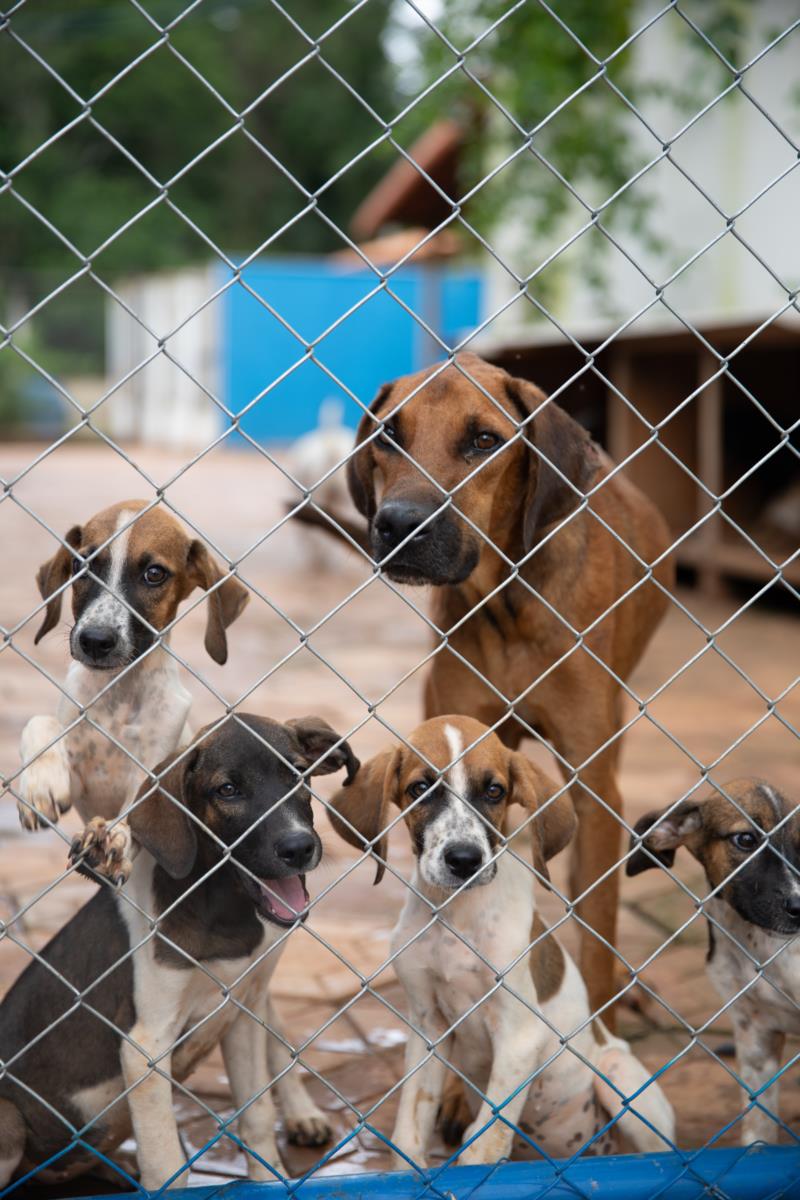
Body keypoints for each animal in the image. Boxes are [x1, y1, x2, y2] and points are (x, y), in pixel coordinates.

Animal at [0, 710, 357, 1190]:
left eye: (298, 773)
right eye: (227, 790)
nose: (299, 846)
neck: (223, 908)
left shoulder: (241, 1014)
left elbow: (258, 1115)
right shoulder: (145, 1048)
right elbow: (167, 1163)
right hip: (9, 1120)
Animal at [328, 715, 671, 1166]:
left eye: (494, 791)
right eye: (420, 788)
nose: (464, 860)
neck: (454, 917)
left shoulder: (518, 1034)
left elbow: (484, 1142)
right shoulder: (427, 1025)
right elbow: (409, 1131)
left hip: (621, 1078)